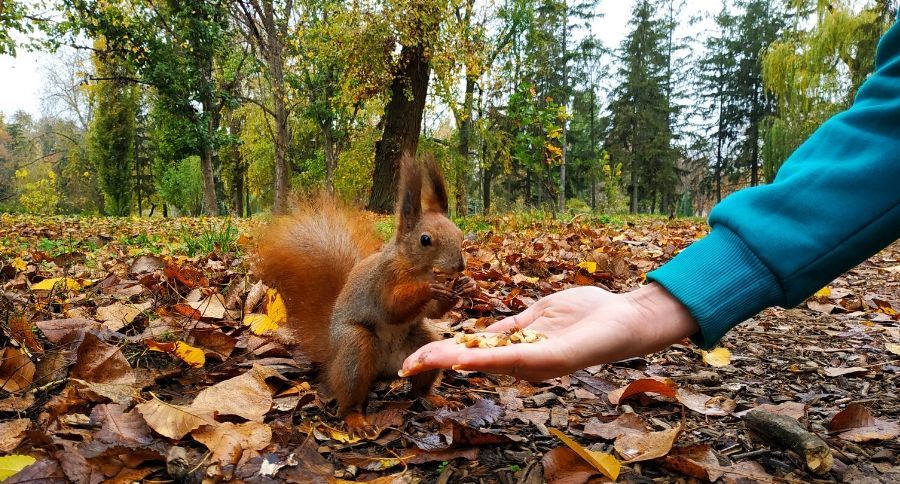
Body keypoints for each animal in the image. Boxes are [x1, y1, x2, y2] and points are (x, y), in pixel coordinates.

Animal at [255, 154, 475, 438]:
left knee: (418, 389)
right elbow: (391, 308)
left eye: (459, 234)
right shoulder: (382, 280)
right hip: (355, 350)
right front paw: (429, 288)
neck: (415, 268)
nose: (459, 266)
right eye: (425, 240)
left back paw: (434, 398)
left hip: (422, 344)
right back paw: (356, 421)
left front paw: (466, 285)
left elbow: (433, 312)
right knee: (350, 399)